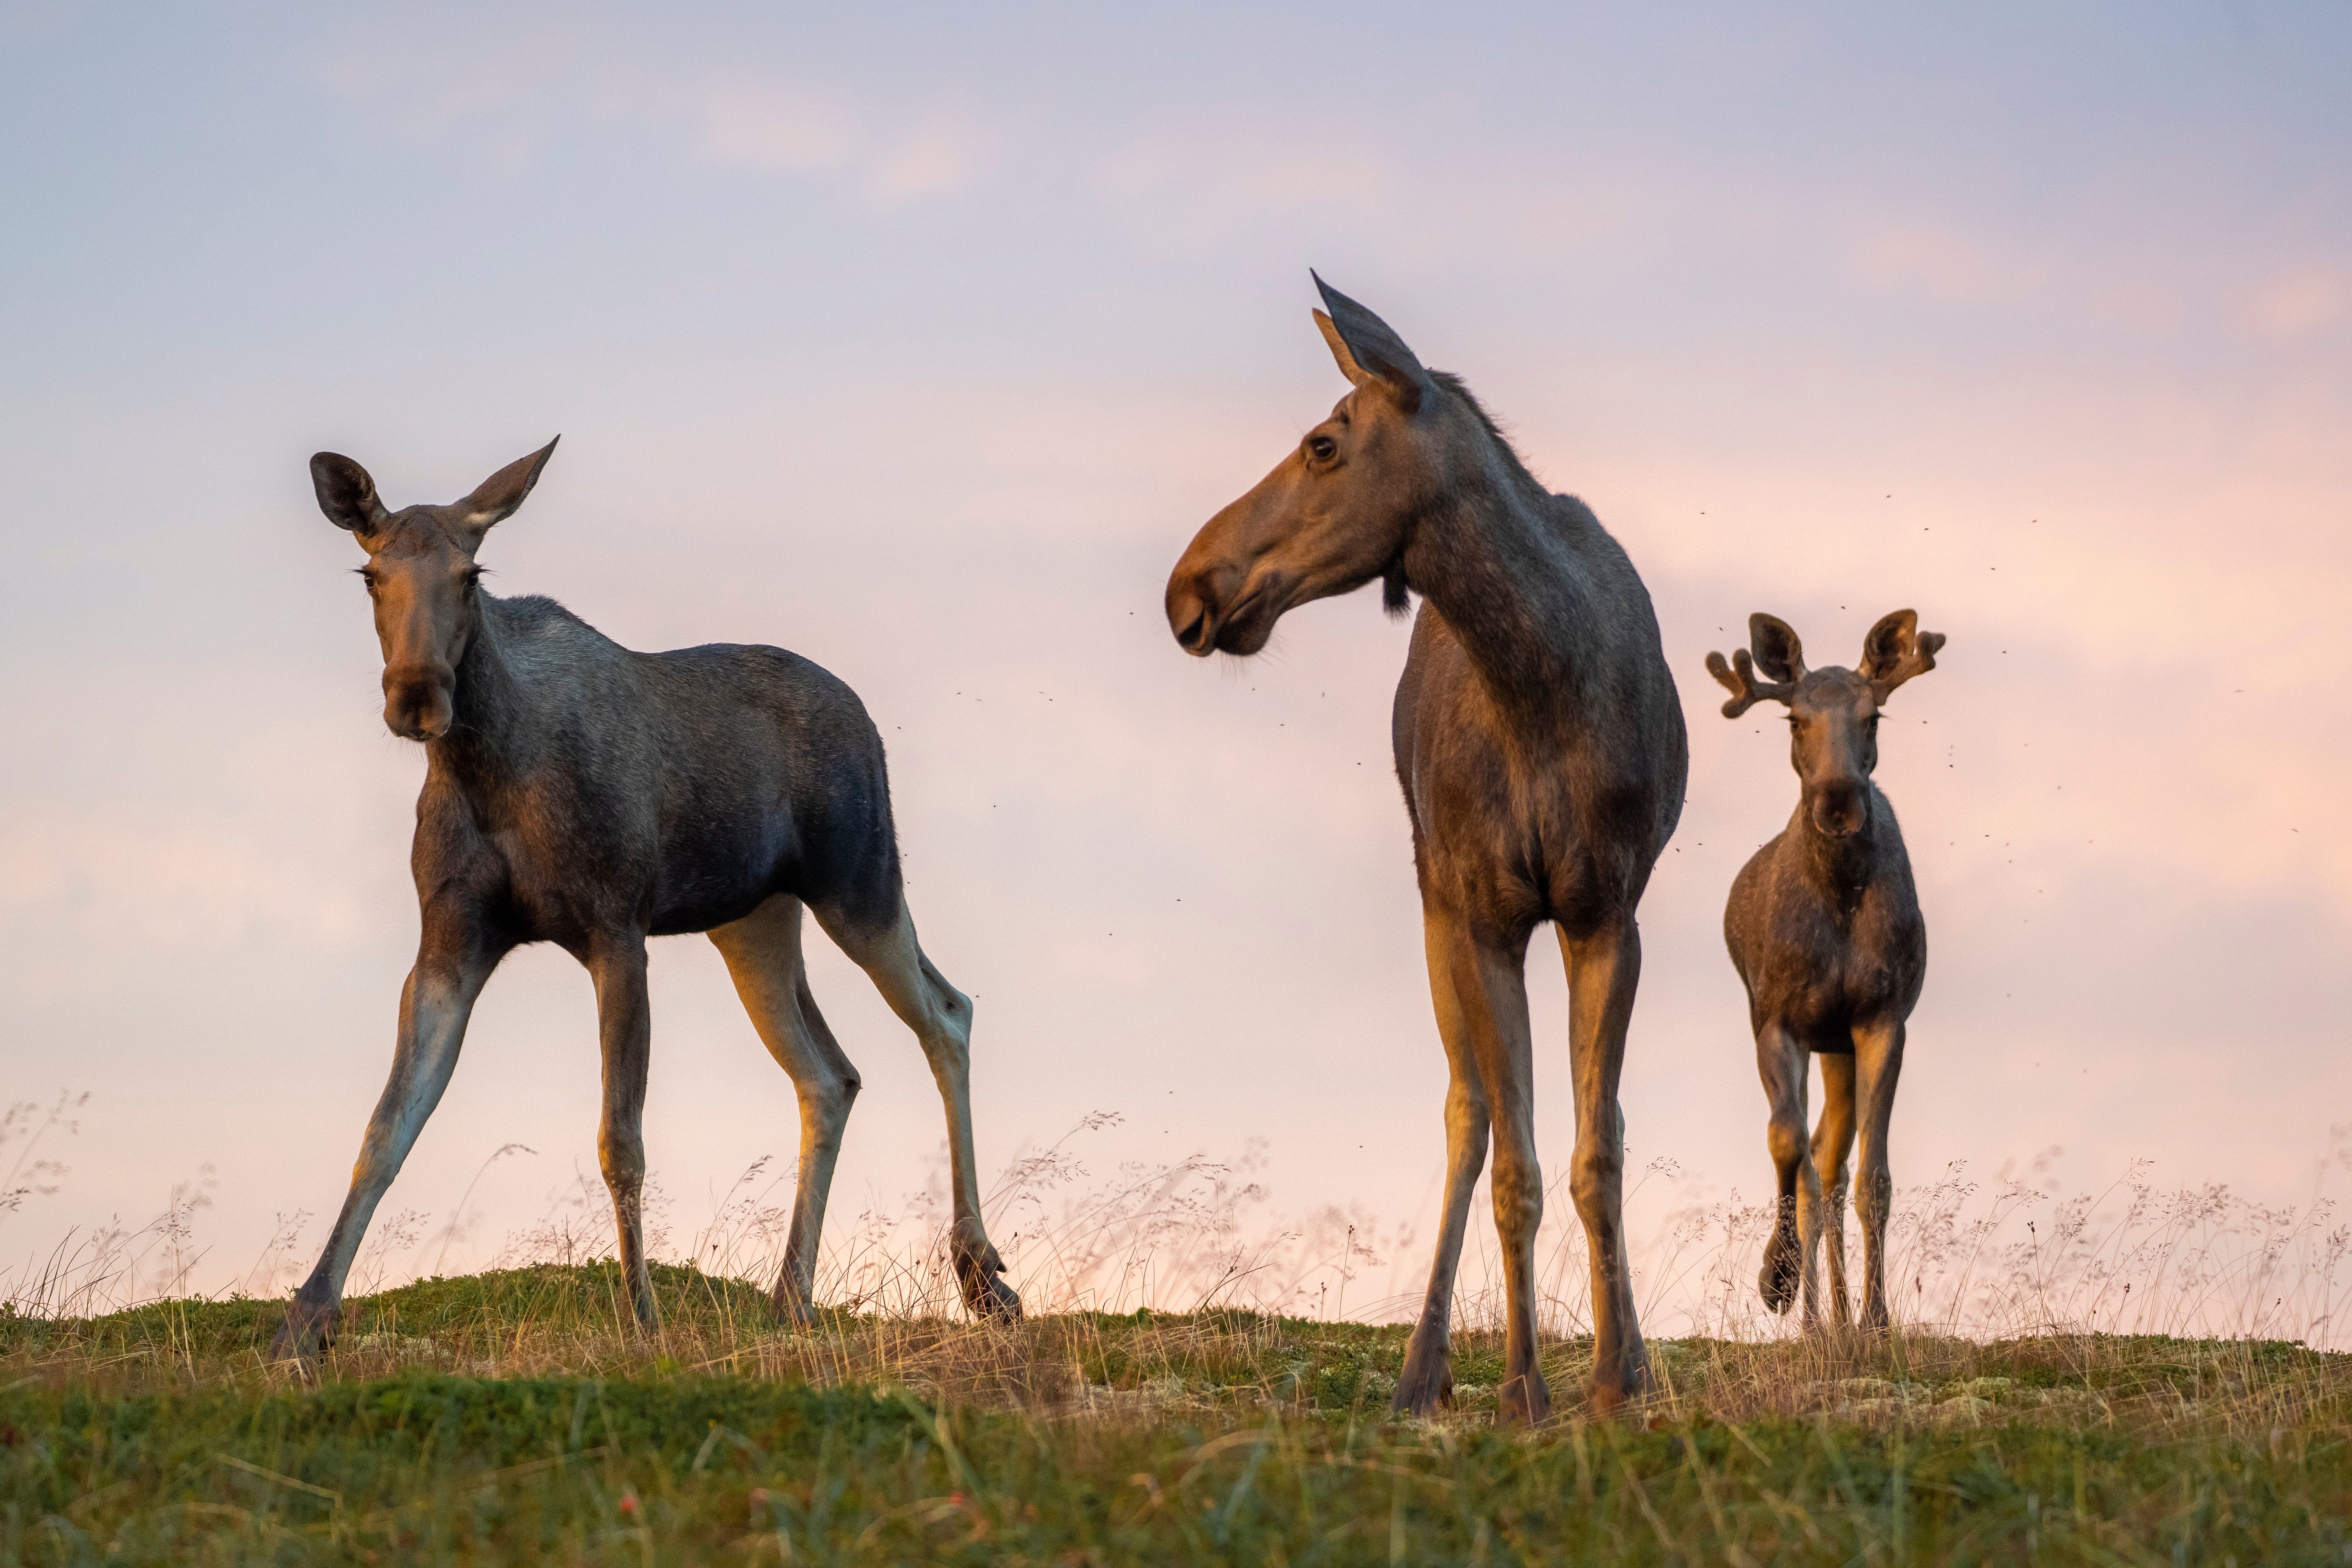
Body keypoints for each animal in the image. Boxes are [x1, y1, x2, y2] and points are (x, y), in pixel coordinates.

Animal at [270, 438, 1020, 1362]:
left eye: (472, 574)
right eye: (372, 574)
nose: (417, 696)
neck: (485, 770)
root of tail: (866, 715)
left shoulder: (616, 929)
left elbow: (619, 1140)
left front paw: (643, 1318)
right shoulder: (448, 945)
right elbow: (384, 1130)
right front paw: (305, 1320)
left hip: (861, 882)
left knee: (947, 1014)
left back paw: (982, 1276)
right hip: (753, 922)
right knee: (831, 1073)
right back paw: (793, 1297)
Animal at [1165, 276, 1689, 1420]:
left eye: (1323, 442)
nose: (1187, 588)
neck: (1539, 682)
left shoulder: (1606, 911)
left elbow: (1598, 1150)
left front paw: (1618, 1375)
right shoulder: (1484, 914)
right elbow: (1514, 1160)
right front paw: (1523, 1385)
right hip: (1436, 908)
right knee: (1470, 1113)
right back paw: (1424, 1367)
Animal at [1706, 609, 1943, 1331]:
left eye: (1873, 717)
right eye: (1794, 718)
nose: (1839, 802)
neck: (1838, 896)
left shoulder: (1882, 1019)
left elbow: (1872, 1179)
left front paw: (1876, 1319)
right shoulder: (1778, 1021)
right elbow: (1789, 1148)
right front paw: (1778, 1282)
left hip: (1839, 1044)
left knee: (1835, 1163)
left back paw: (1839, 1314)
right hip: (1813, 1035)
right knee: (1814, 1160)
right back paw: (1814, 1313)